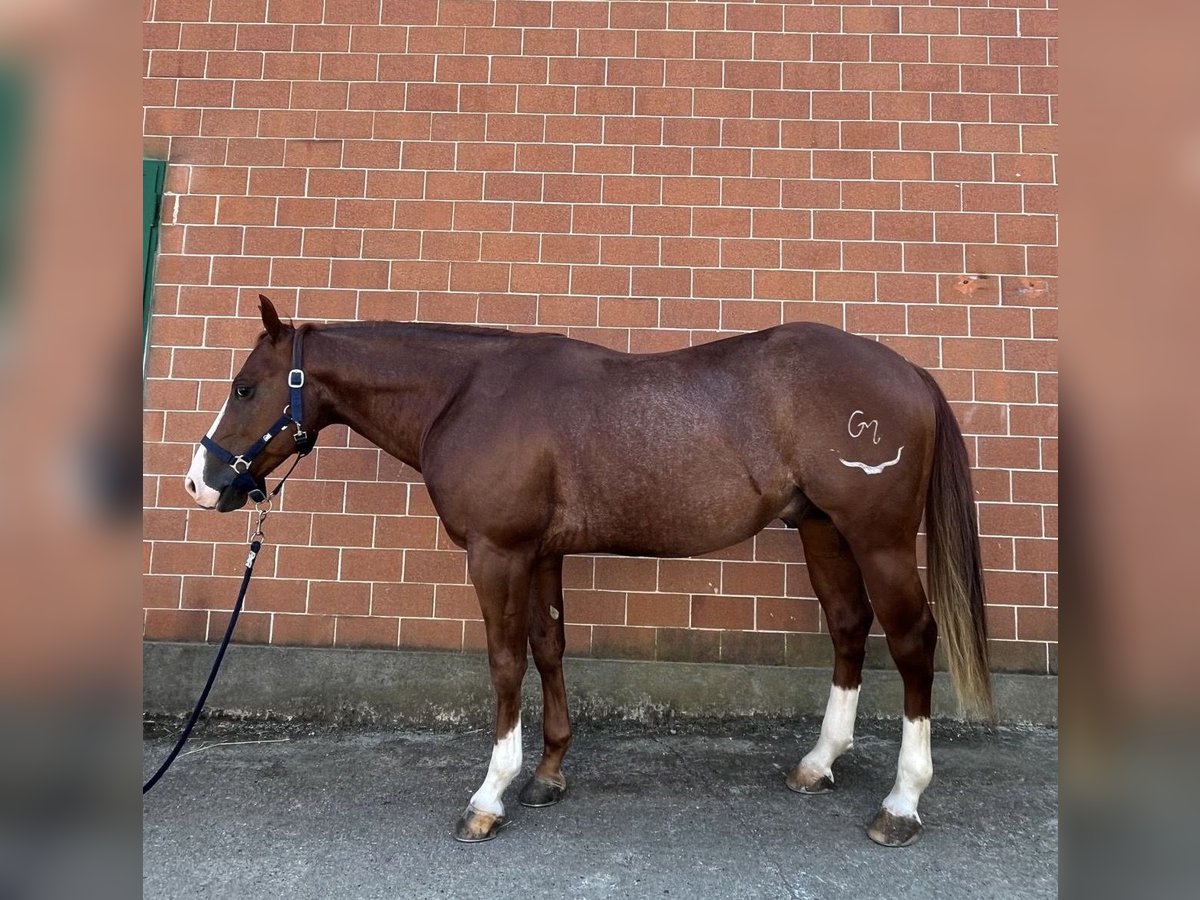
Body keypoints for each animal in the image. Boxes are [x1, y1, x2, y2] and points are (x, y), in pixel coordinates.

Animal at [183, 295, 992, 848]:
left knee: (912, 641)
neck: (466, 393)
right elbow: (549, 649)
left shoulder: (498, 553)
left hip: (878, 539)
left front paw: (490, 795)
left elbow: (506, 662)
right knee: (849, 627)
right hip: (823, 531)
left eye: (246, 386)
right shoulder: (541, 553)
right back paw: (819, 763)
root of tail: (909, 372)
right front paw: (547, 775)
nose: (201, 482)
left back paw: (901, 803)